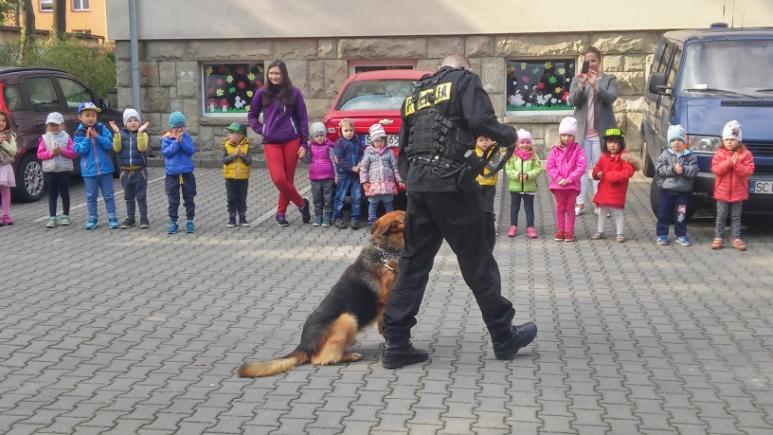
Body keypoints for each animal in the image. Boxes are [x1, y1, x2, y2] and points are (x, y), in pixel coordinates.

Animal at [237, 211, 404, 378]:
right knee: (321, 359)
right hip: (347, 319)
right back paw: (349, 356)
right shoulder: (387, 297)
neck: (384, 252)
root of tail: (304, 345)